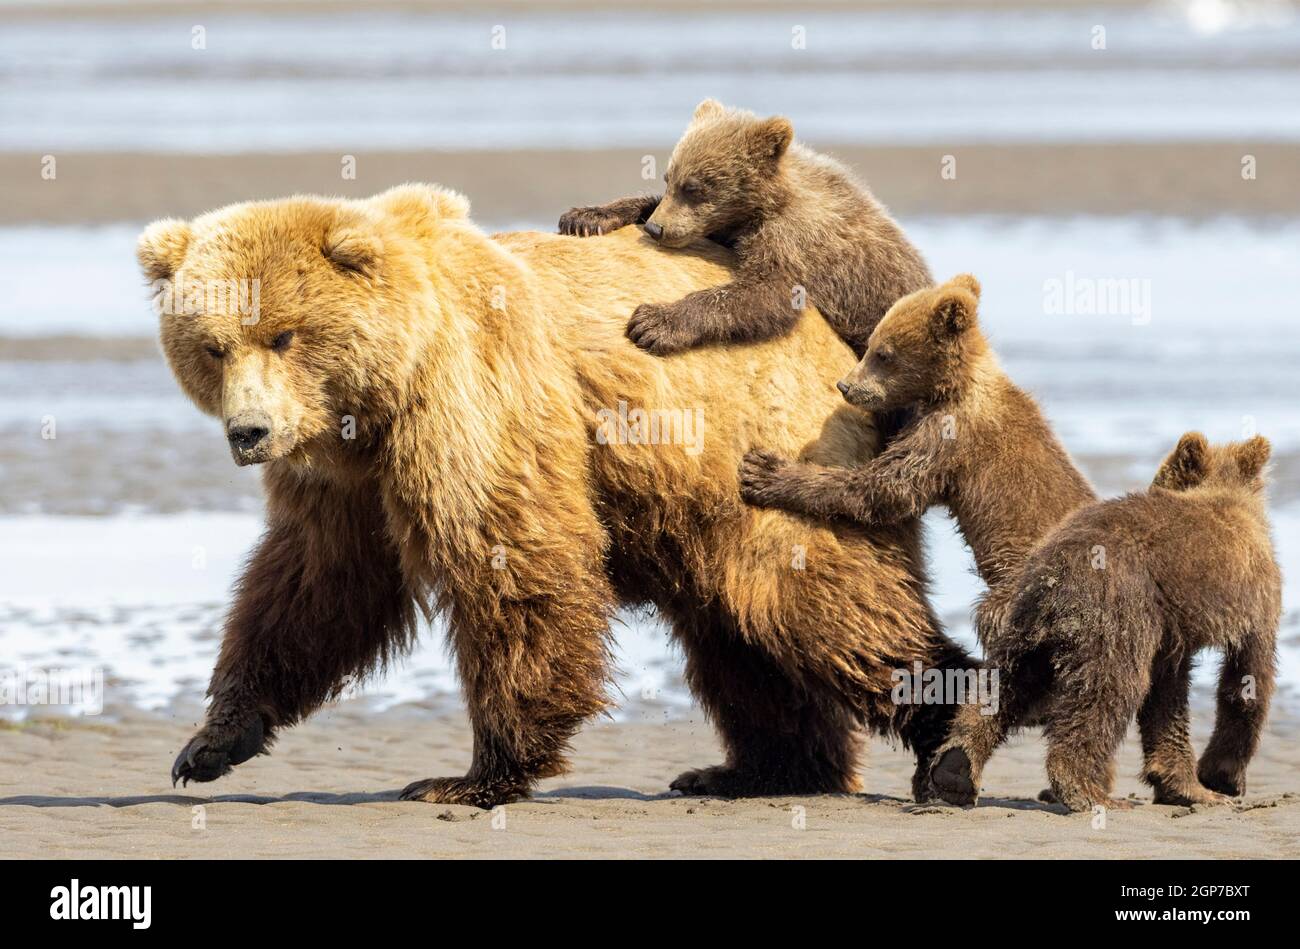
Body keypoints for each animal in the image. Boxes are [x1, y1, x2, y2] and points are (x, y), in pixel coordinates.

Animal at [142, 184, 972, 806]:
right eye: (213, 345)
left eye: (284, 334)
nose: (249, 431)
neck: (374, 403)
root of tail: (838, 338)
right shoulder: (342, 479)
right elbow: (313, 584)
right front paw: (210, 741)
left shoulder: (472, 399)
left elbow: (512, 560)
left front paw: (474, 773)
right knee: (740, 635)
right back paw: (758, 769)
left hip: (774, 455)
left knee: (821, 605)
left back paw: (947, 735)